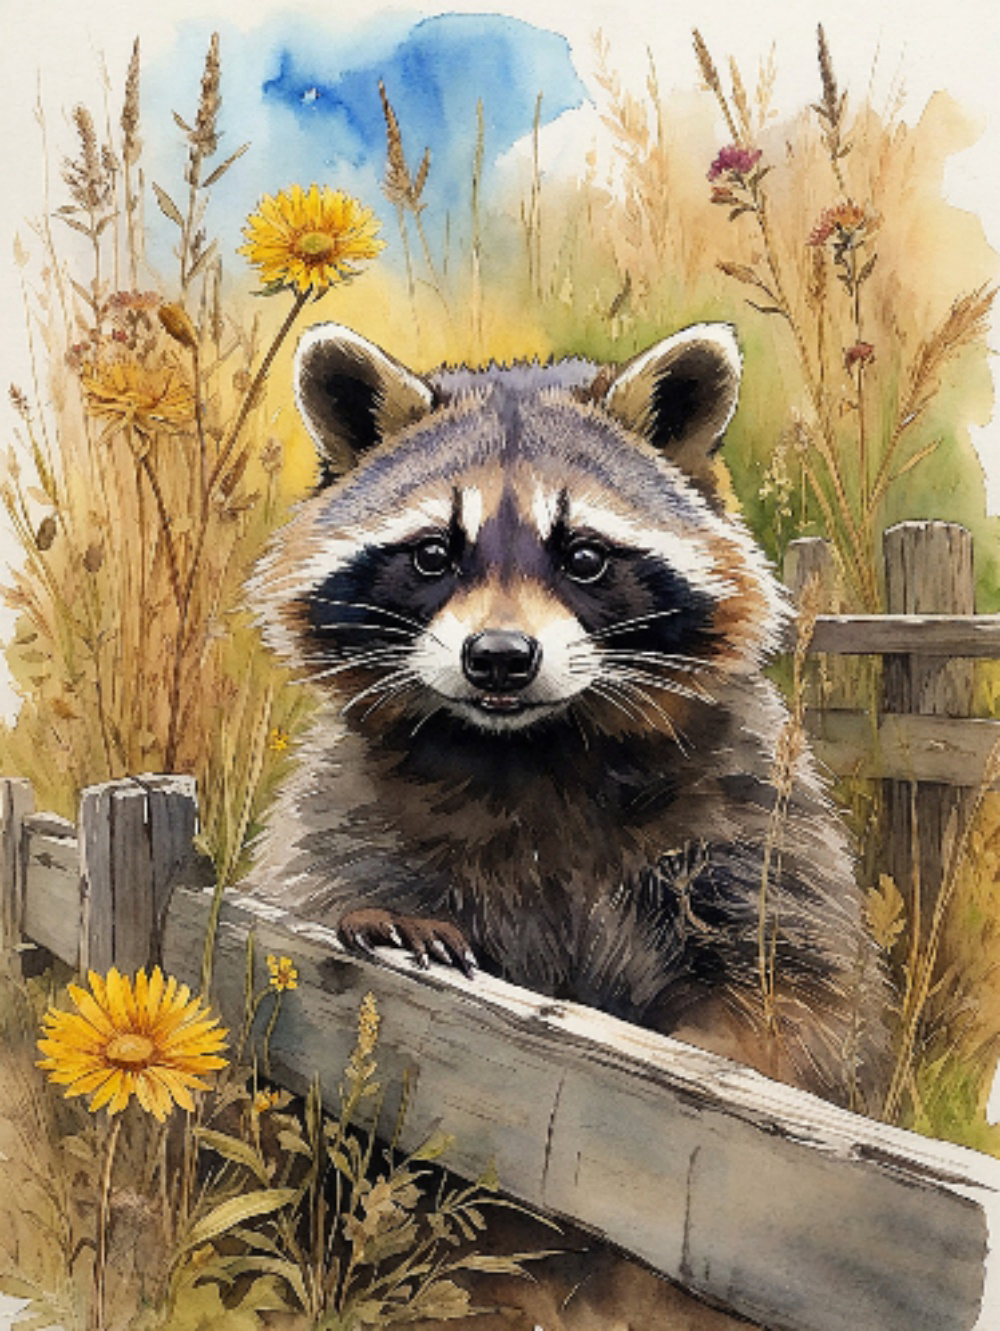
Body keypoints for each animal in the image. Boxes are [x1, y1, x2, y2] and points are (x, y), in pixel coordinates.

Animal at [248, 321, 886, 1105]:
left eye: (583, 556)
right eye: (433, 554)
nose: (498, 657)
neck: (529, 747)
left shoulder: (754, 823)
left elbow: (803, 999)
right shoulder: (348, 805)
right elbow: (309, 892)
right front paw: (390, 925)